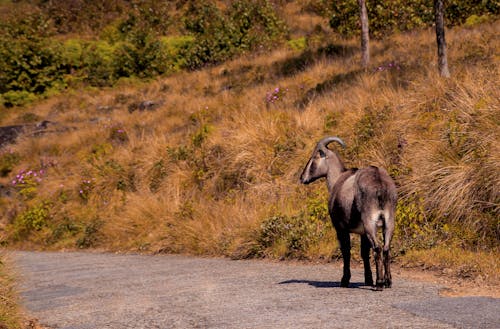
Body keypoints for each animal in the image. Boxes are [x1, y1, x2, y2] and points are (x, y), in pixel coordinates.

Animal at [298, 136, 396, 290]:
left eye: (314, 157)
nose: (302, 177)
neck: (339, 179)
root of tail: (380, 185)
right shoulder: (363, 233)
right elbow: (364, 253)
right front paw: (368, 279)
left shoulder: (340, 228)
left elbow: (346, 251)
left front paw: (345, 280)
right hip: (389, 221)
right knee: (386, 248)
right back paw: (388, 282)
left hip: (370, 222)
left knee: (378, 247)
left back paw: (379, 283)